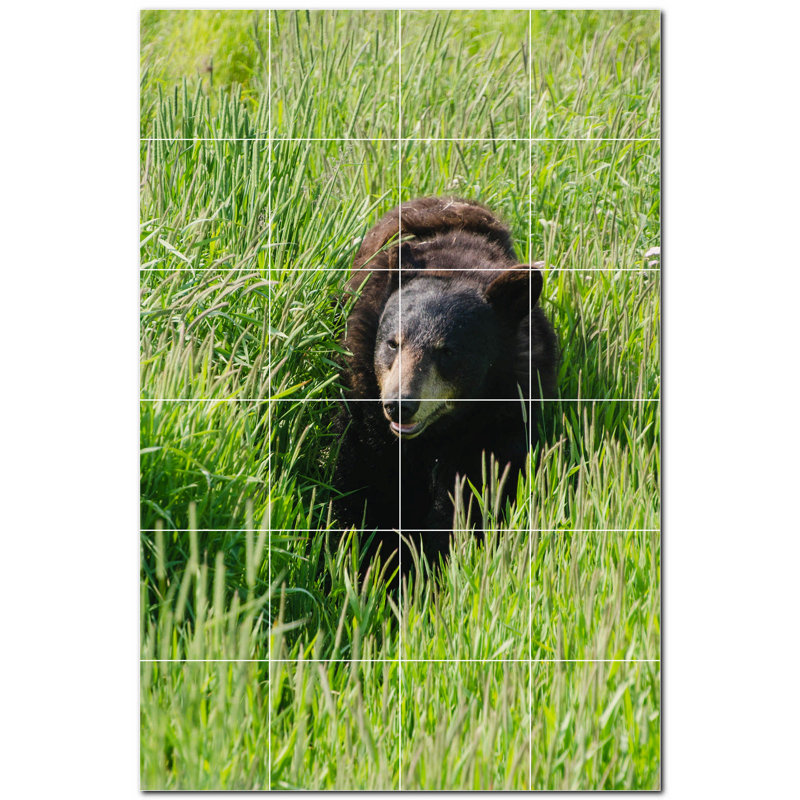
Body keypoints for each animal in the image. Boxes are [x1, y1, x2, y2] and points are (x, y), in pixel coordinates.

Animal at [332, 196, 557, 581]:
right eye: (393, 343)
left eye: (448, 351)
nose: (400, 405)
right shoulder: (365, 408)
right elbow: (362, 484)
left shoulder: (499, 420)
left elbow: (471, 498)